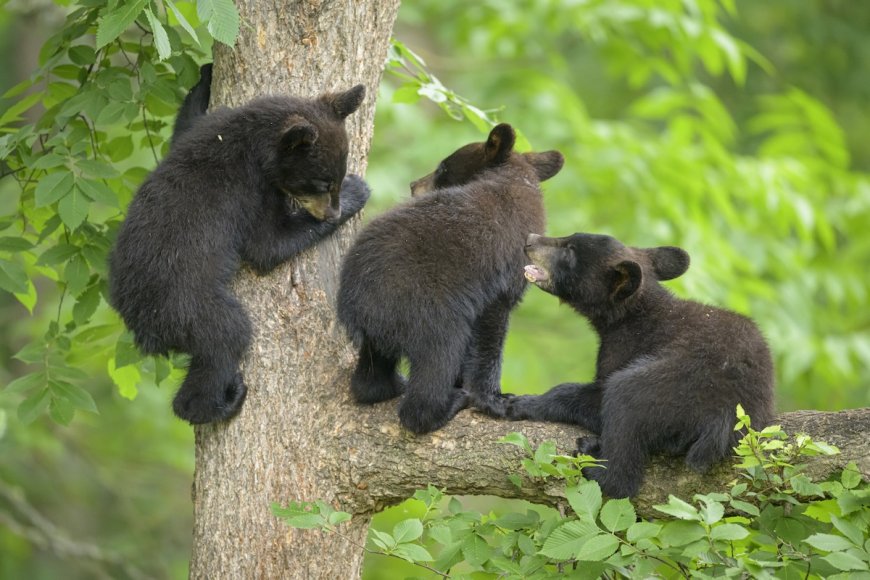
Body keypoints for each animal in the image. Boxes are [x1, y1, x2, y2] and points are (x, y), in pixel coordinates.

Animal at [108, 69, 370, 425]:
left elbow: (184, 126)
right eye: (321, 183)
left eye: (336, 177)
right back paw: (220, 402)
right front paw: (358, 192)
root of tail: (141, 326)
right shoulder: (248, 190)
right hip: (188, 306)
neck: (250, 138)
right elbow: (266, 245)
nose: (331, 212)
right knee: (227, 337)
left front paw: (204, 76)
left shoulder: (206, 128)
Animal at [337, 124, 564, 434]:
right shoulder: (498, 278)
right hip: (427, 309)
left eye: (443, 167)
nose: (413, 185)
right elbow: (490, 334)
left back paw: (388, 386)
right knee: (439, 356)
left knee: (372, 374)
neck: (516, 180)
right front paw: (495, 399)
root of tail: (355, 305)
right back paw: (446, 404)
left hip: (383, 328)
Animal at [505, 232, 775, 498]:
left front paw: (522, 402)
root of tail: (726, 414)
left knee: (624, 405)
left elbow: (596, 396)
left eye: (570, 250)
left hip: (675, 386)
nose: (530, 239)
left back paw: (595, 461)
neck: (631, 314)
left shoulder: (625, 346)